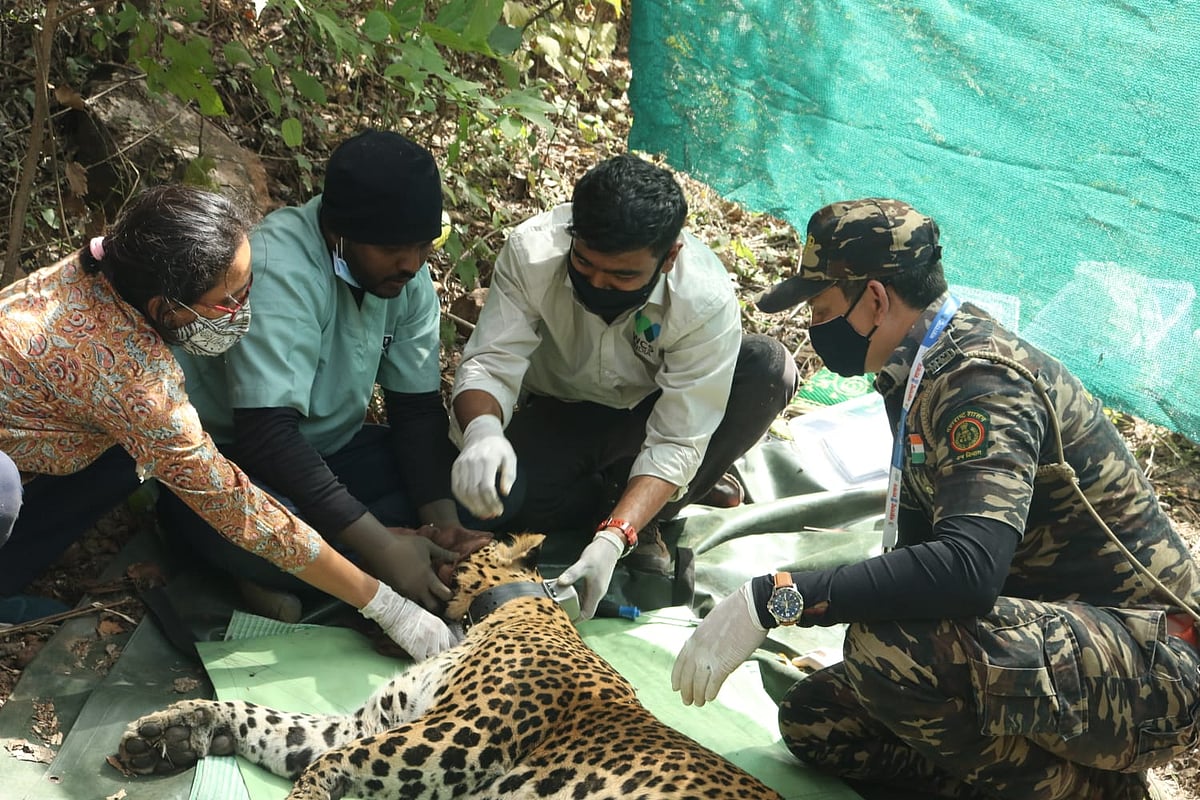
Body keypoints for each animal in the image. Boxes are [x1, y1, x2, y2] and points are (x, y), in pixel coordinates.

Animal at [116, 533, 784, 799]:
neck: (499, 611)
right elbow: (271, 722)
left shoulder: (464, 732)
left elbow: (327, 762)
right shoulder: (372, 723)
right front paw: (174, 728)